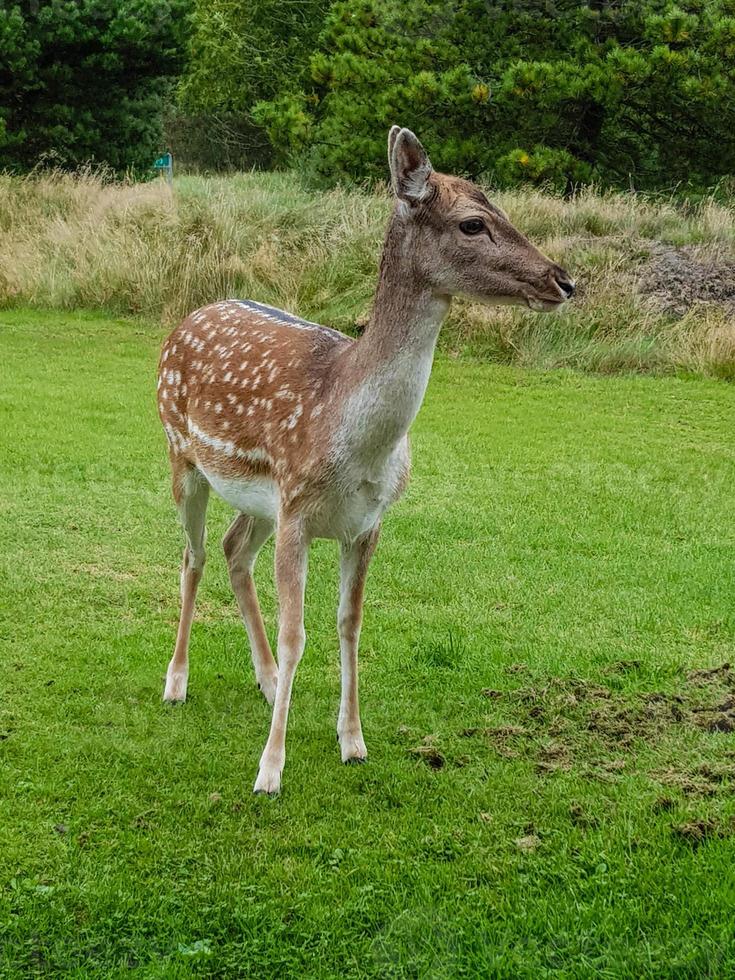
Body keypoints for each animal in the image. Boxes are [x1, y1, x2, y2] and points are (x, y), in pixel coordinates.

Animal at [160, 126, 576, 792]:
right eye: (472, 223)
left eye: (504, 211)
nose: (564, 281)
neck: (357, 440)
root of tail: (189, 316)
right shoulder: (299, 513)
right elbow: (297, 632)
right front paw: (270, 770)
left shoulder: (365, 522)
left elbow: (349, 624)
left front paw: (352, 740)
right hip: (183, 457)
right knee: (193, 556)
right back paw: (177, 682)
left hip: (259, 500)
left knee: (232, 549)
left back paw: (266, 678)